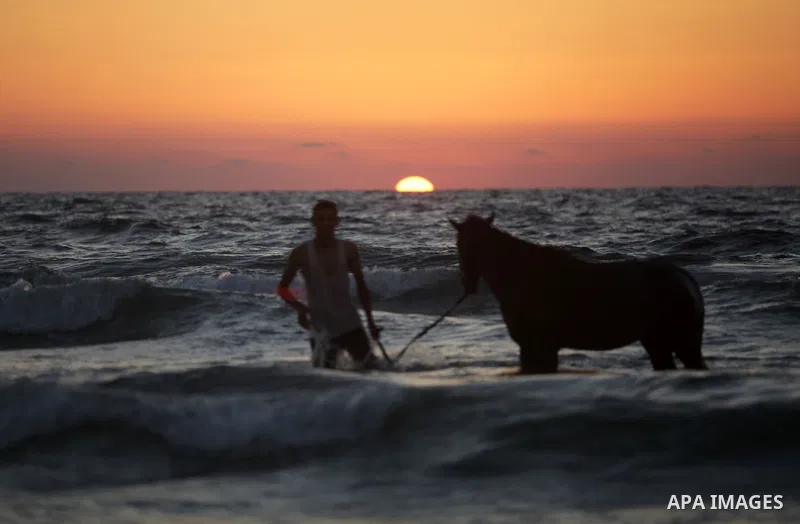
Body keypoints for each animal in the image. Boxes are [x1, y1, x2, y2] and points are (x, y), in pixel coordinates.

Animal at [449, 213, 707, 374]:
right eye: (460, 244)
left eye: (480, 245)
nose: (467, 283)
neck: (526, 276)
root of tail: (686, 279)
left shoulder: (540, 347)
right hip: (657, 343)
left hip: (683, 342)